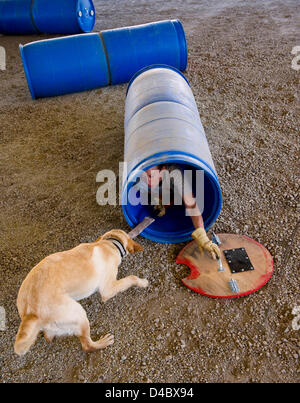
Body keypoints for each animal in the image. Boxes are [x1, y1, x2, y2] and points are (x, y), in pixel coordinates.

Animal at [14, 230, 148, 356]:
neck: (110, 243)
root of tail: (29, 313)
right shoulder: (108, 289)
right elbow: (131, 278)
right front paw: (143, 282)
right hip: (78, 314)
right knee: (87, 345)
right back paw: (103, 342)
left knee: (48, 336)